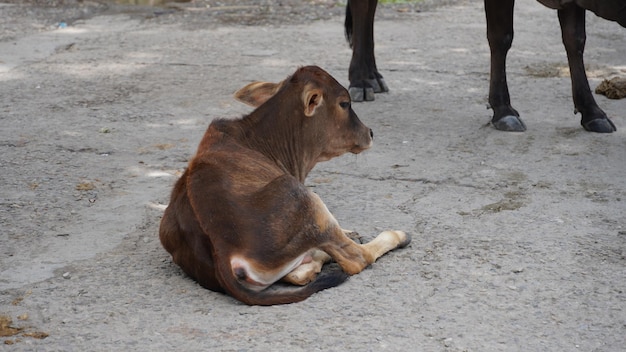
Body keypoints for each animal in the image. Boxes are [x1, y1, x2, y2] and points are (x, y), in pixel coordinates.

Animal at [158, 66, 408, 306]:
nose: (370, 133)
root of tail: (222, 251)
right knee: (355, 258)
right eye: (344, 103)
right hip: (301, 196)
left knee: (299, 273)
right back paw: (396, 236)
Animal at [344, 0, 620, 132]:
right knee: (362, 6)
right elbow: (502, 37)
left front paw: (593, 113)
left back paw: (372, 76)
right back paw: (360, 81)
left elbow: (575, 41)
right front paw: (503, 110)